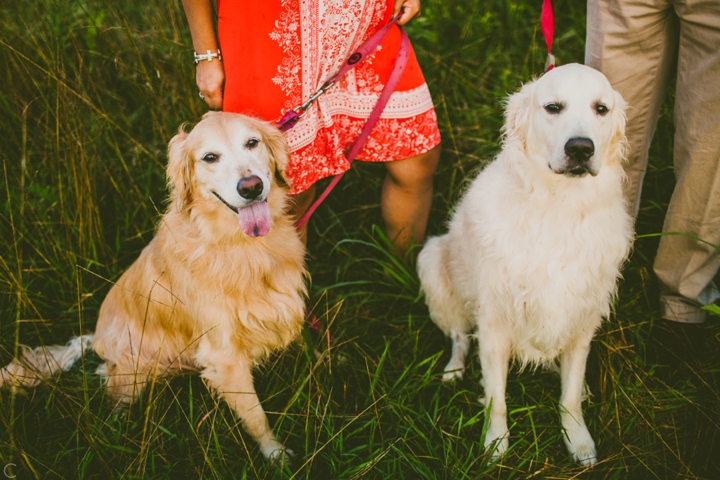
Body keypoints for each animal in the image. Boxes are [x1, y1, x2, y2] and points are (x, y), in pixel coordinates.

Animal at [0, 111, 306, 462]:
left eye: (252, 142)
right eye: (209, 157)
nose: (251, 187)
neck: (237, 245)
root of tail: (95, 337)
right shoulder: (224, 355)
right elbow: (255, 414)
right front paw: (275, 454)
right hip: (133, 372)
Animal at [420, 63, 632, 464]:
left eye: (601, 109)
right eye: (553, 107)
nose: (580, 148)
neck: (558, 206)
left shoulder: (582, 318)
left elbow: (569, 396)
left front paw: (578, 441)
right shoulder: (493, 324)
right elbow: (496, 398)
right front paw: (495, 443)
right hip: (431, 262)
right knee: (458, 337)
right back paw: (453, 371)